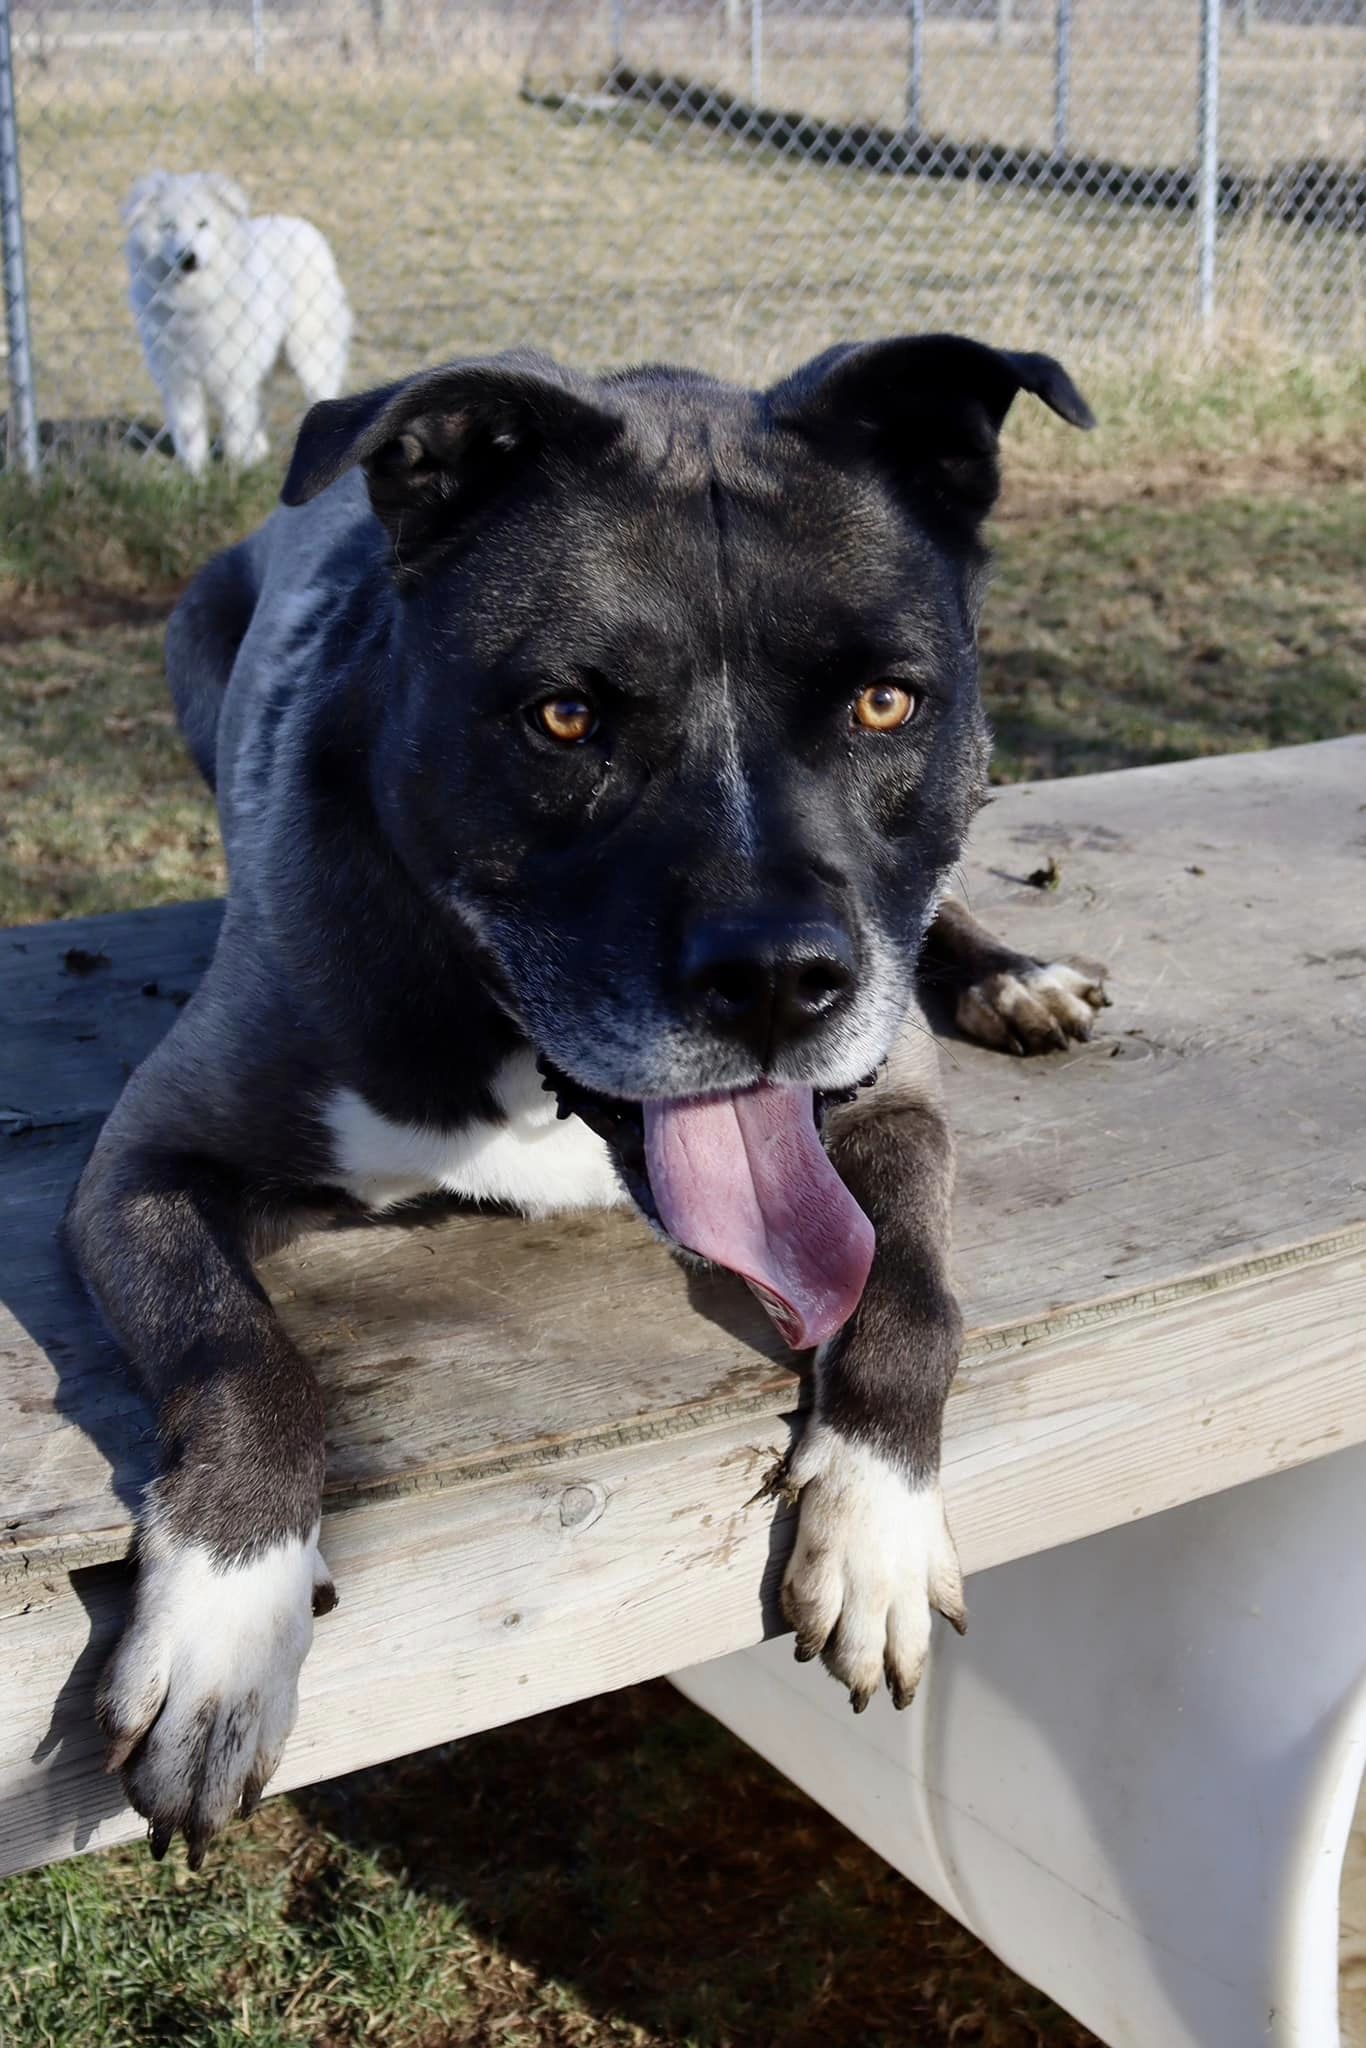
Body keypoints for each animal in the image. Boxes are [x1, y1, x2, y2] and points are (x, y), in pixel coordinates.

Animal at [69, 327, 1105, 1867]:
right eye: (563, 717)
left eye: (885, 702)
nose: (778, 979)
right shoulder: (147, 1157)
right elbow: (240, 1352)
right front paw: (226, 1625)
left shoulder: (889, 1107)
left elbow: (911, 1293)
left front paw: (874, 1521)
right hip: (191, 638)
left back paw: (1006, 973)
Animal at [124, 172, 352, 475]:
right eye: (168, 226)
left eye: (203, 223)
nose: (188, 257)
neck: (194, 302)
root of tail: (301, 225)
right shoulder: (179, 382)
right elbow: (190, 435)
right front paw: (197, 478)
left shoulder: (233, 378)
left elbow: (234, 434)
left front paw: (236, 473)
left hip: (310, 357)